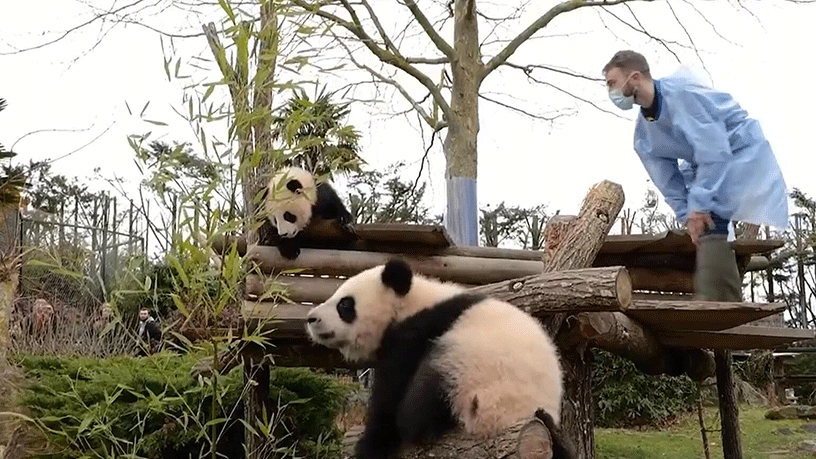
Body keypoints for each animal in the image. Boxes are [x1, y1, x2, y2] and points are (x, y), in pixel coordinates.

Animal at [305, 258, 574, 459]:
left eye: (345, 305)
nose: (311, 318)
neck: (410, 302)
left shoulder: (417, 331)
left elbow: (391, 388)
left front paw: (371, 443)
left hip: (470, 376)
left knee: (423, 400)